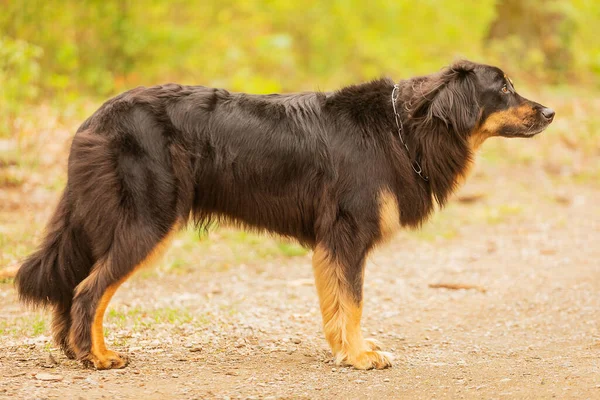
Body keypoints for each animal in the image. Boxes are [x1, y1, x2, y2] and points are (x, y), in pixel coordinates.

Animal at [16, 61, 556, 370]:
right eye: (504, 89)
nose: (550, 112)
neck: (407, 128)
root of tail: (94, 121)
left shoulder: (330, 242)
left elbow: (337, 305)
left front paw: (344, 351)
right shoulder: (347, 233)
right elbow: (353, 301)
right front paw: (360, 357)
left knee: (74, 288)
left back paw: (75, 351)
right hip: (149, 220)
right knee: (89, 291)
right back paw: (97, 356)